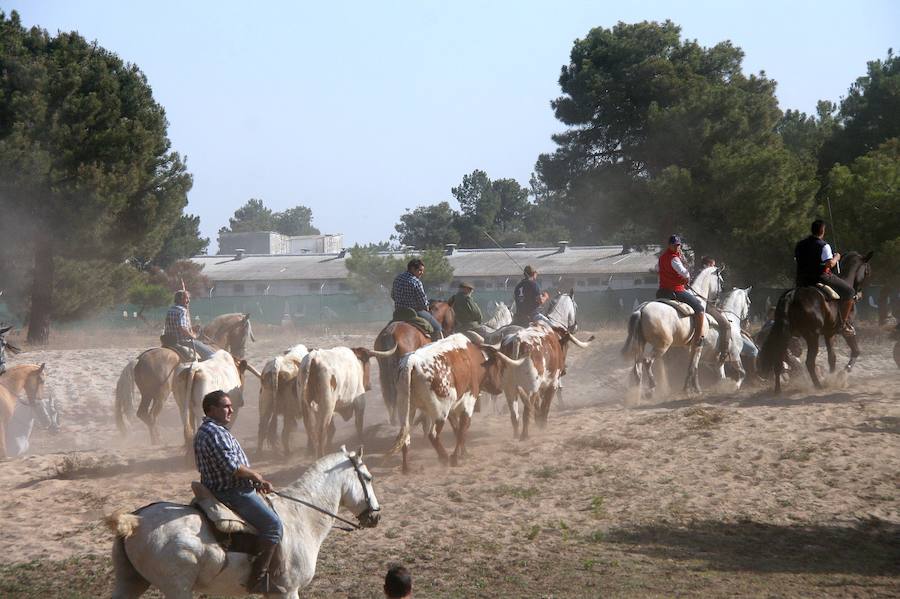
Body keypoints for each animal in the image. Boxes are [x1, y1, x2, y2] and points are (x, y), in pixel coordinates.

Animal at [107, 447, 380, 599]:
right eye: (368, 477)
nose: (376, 516)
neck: (302, 517)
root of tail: (136, 520)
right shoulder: (288, 591)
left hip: (130, 583)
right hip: (177, 589)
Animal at [621, 266, 724, 398]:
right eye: (721, 281)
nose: (716, 301)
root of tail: (641, 309)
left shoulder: (690, 346)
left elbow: (690, 365)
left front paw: (688, 388)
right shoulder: (698, 345)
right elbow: (694, 366)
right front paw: (695, 389)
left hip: (641, 344)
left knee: (637, 369)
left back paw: (638, 395)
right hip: (662, 345)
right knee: (647, 362)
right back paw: (651, 387)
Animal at [759, 251, 873, 393]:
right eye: (867, 271)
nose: (859, 294)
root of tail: (792, 296)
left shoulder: (829, 333)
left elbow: (832, 358)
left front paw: (832, 377)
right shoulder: (846, 330)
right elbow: (855, 351)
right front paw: (841, 375)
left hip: (785, 336)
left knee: (778, 360)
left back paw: (778, 390)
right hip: (812, 336)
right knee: (809, 362)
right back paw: (818, 385)